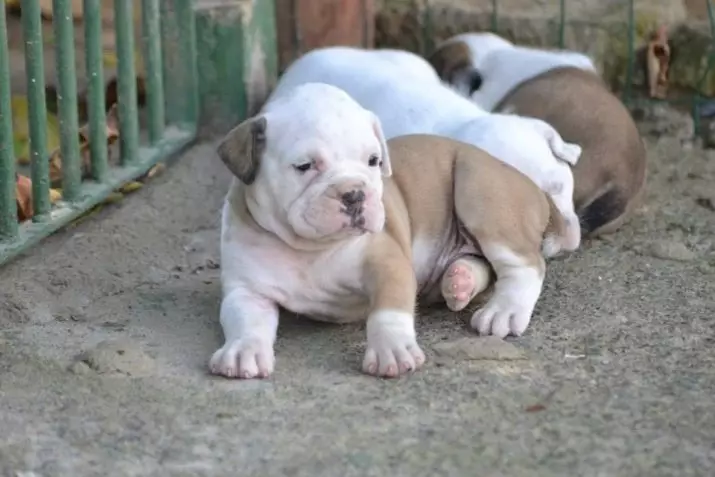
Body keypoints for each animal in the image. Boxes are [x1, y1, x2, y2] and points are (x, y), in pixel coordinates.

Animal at [210, 81, 568, 380]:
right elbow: (245, 321)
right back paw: (460, 280)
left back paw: (504, 311)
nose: (355, 193)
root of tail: (534, 187)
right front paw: (243, 351)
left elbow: (388, 312)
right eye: (304, 166)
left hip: (480, 190)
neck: (310, 249)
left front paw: (392, 351)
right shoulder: (246, 290)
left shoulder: (387, 264)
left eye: (373, 161)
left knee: (525, 266)